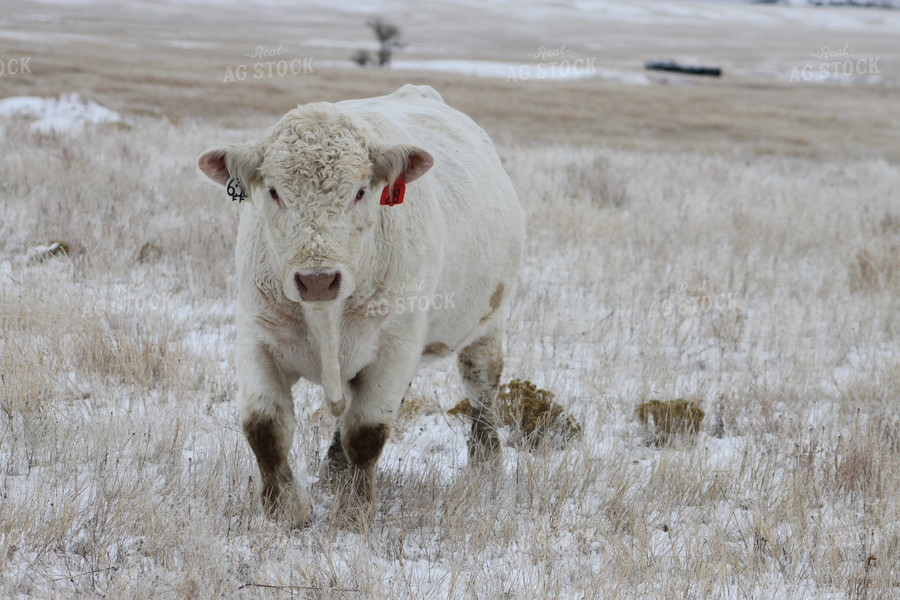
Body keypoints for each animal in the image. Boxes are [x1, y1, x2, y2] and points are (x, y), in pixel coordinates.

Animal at [197, 84, 520, 524]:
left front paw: (355, 508)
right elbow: (266, 428)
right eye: (274, 191)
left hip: (488, 321)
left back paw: (486, 465)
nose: (317, 279)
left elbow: (366, 432)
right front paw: (284, 508)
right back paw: (333, 469)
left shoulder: (394, 347)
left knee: (481, 385)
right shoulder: (257, 337)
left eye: (361, 191)